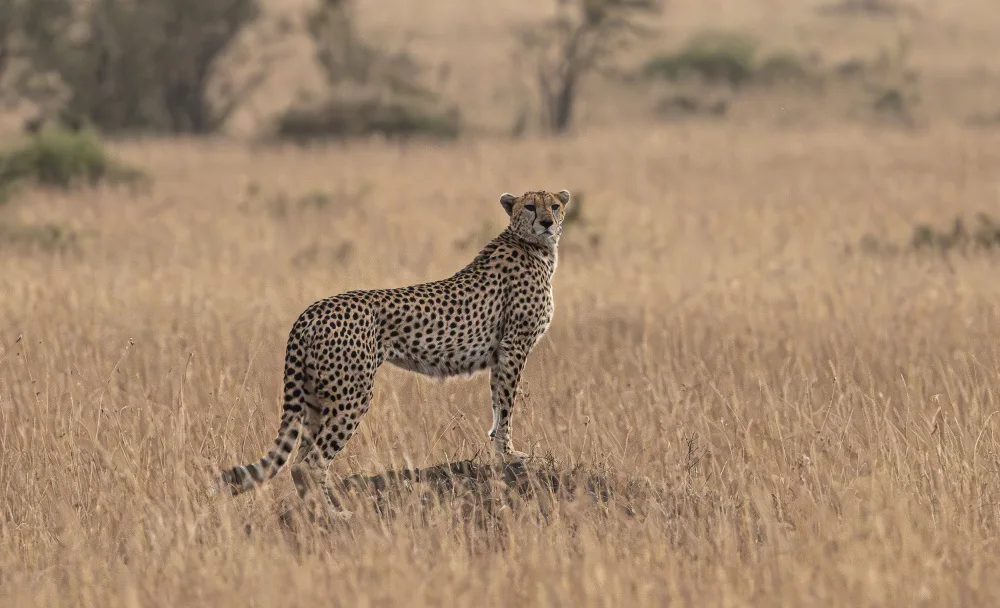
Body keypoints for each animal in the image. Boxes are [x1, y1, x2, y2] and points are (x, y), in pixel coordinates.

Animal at [212, 189, 573, 516]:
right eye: (530, 206)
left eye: (554, 205)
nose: (546, 222)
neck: (533, 246)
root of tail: (312, 310)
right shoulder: (513, 347)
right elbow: (507, 404)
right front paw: (509, 454)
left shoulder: (501, 354)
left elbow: (497, 403)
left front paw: (500, 448)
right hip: (352, 395)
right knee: (310, 463)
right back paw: (334, 515)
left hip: (315, 396)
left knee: (298, 458)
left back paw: (314, 514)